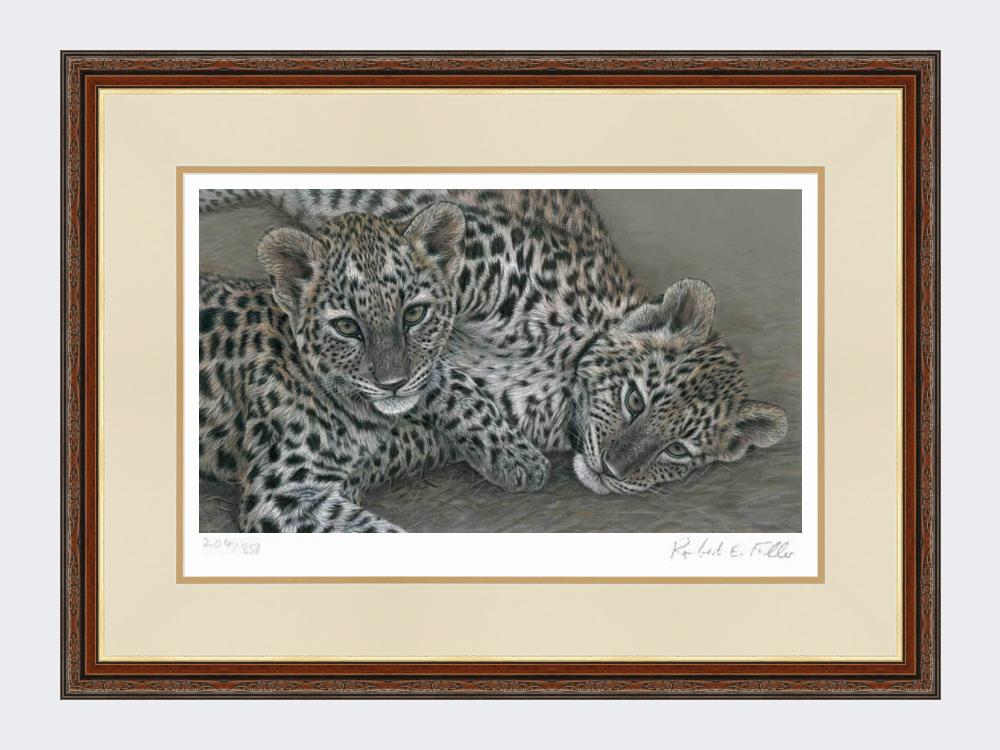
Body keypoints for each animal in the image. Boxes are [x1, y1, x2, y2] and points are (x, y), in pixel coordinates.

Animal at [198, 202, 549, 532]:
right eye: (346, 327)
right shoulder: (281, 495)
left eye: (414, 314)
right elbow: (372, 531)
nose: (392, 383)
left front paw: (518, 456)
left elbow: (452, 381)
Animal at [201, 188, 789, 497]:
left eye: (678, 450)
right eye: (634, 400)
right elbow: (428, 355)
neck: (562, 365)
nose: (612, 470)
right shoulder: (465, 263)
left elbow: (434, 378)